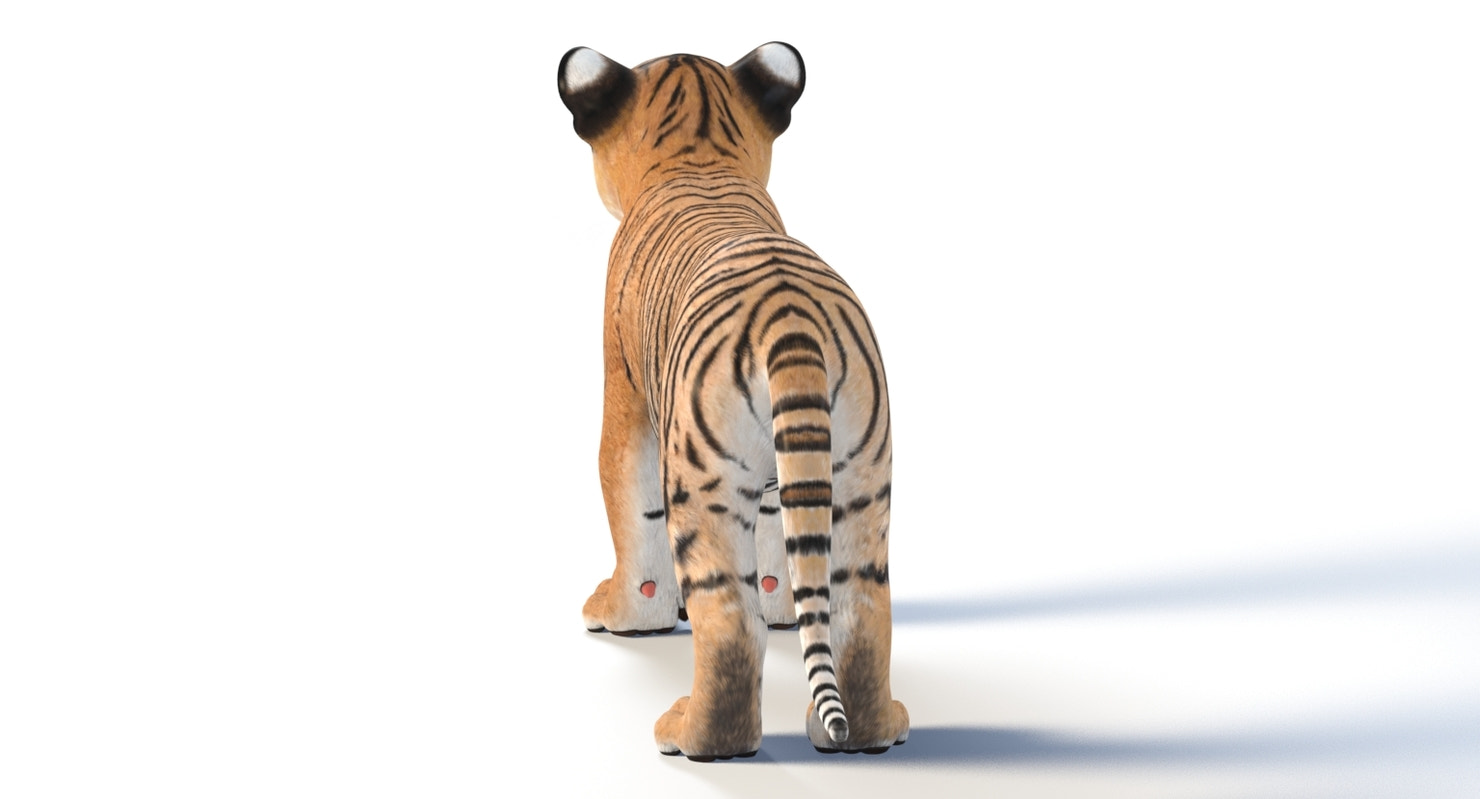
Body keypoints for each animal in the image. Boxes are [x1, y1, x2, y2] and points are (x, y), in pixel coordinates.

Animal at [556, 41, 909, 761]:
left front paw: (627, 615)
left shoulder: (626, 394)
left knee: (727, 624)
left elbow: (629, 505)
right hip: (861, 476)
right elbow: (778, 550)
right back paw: (869, 733)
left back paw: (690, 734)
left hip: (705, 482)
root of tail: (789, 316)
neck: (700, 154)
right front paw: (782, 604)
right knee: (861, 611)